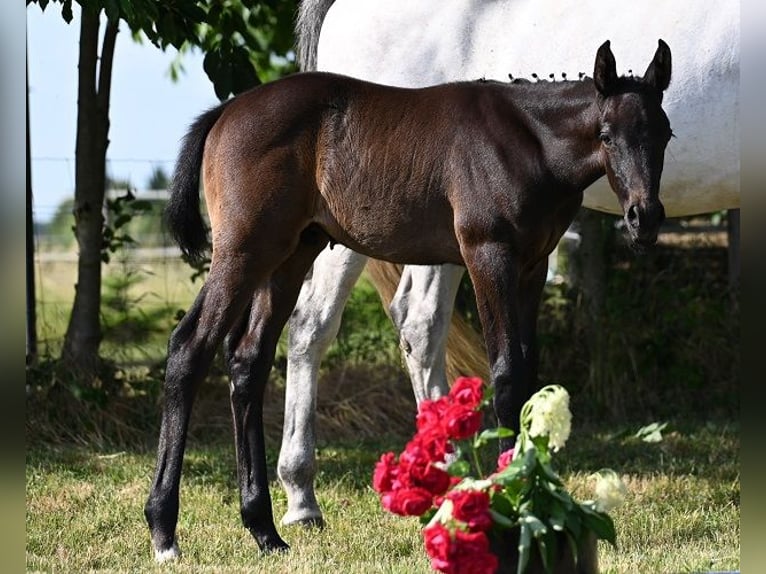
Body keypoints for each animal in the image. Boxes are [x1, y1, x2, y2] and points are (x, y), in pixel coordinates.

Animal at [145, 39, 674, 559]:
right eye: (606, 135)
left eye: (665, 134)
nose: (644, 217)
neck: (528, 142)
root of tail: (226, 110)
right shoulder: (488, 255)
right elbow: (505, 374)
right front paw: (511, 500)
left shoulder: (532, 267)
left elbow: (527, 375)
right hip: (243, 251)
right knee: (189, 348)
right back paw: (164, 531)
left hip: (291, 254)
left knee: (248, 362)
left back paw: (264, 530)